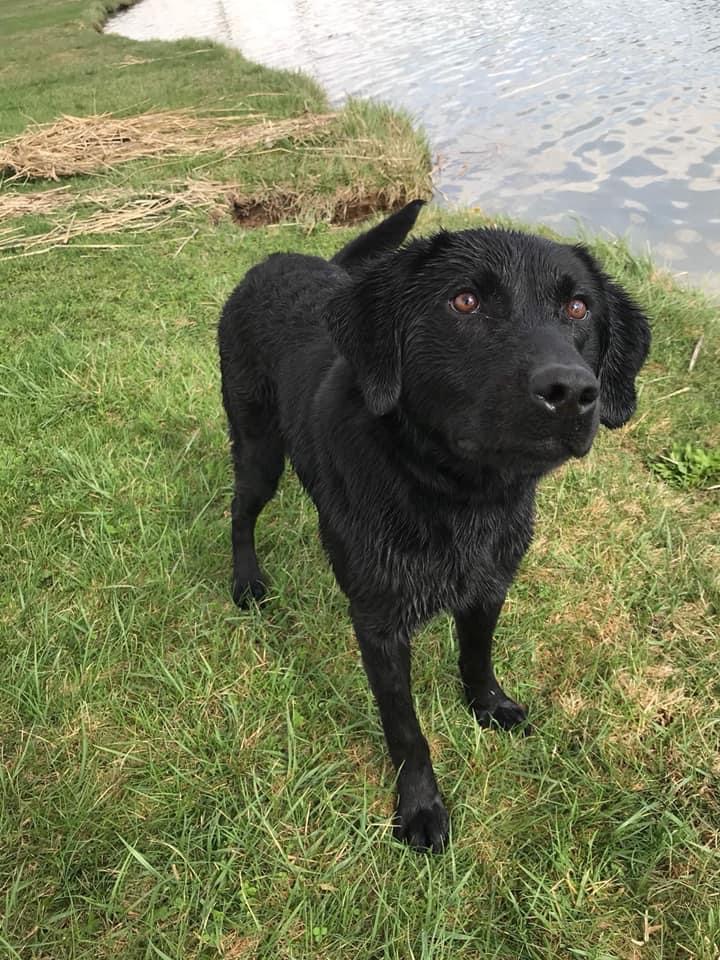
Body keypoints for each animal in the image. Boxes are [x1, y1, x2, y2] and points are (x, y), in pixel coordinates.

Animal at [217, 202, 648, 848]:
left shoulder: (489, 587)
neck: (458, 497)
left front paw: (488, 707)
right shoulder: (379, 625)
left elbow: (476, 657)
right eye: (464, 301)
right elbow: (405, 729)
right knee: (240, 512)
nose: (571, 391)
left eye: (578, 308)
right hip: (258, 450)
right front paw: (420, 808)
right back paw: (247, 582)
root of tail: (276, 259)